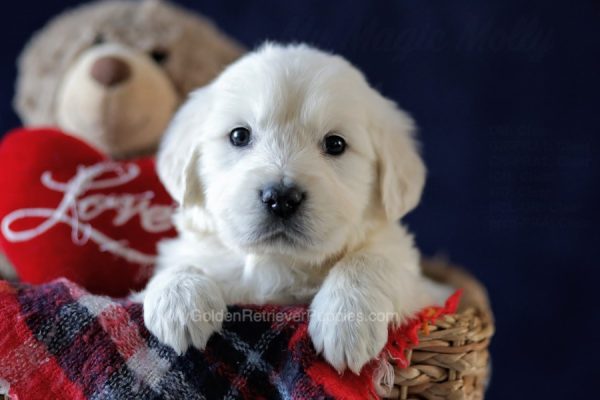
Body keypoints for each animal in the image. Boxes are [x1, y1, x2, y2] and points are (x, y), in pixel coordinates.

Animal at [145, 42, 436, 374]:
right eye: (239, 135)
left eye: (335, 144)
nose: (281, 198)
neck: (280, 262)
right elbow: (180, 260)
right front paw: (178, 302)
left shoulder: (423, 288)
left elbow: (370, 260)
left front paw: (346, 321)